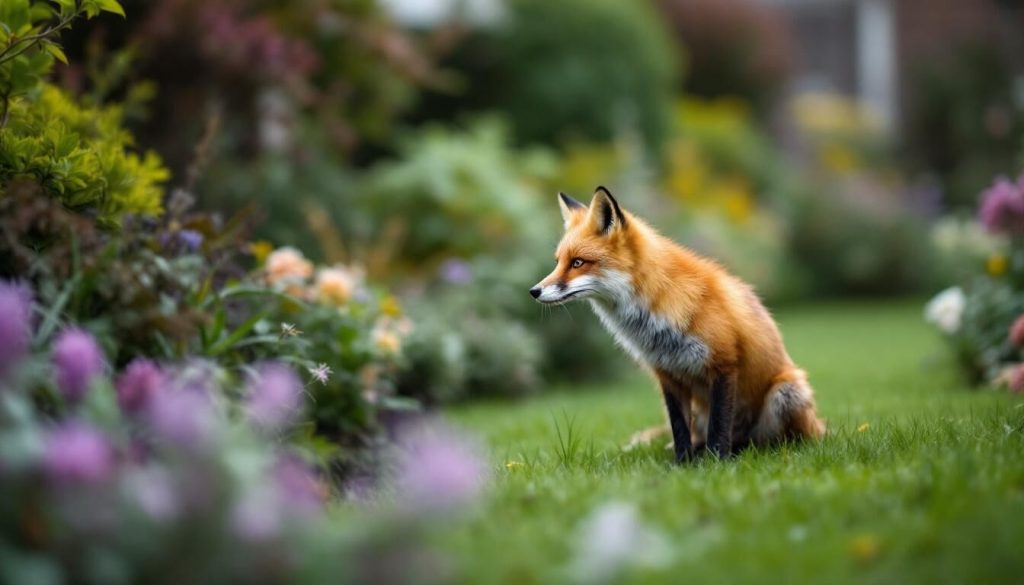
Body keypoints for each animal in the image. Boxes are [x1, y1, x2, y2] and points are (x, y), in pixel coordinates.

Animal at [530, 186, 825, 462]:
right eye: (558, 262)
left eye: (578, 262)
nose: (534, 291)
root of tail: (820, 427)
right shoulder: (668, 374)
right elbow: (679, 428)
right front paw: (682, 464)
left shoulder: (724, 364)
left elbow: (719, 426)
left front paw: (717, 463)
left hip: (787, 392)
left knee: (771, 441)